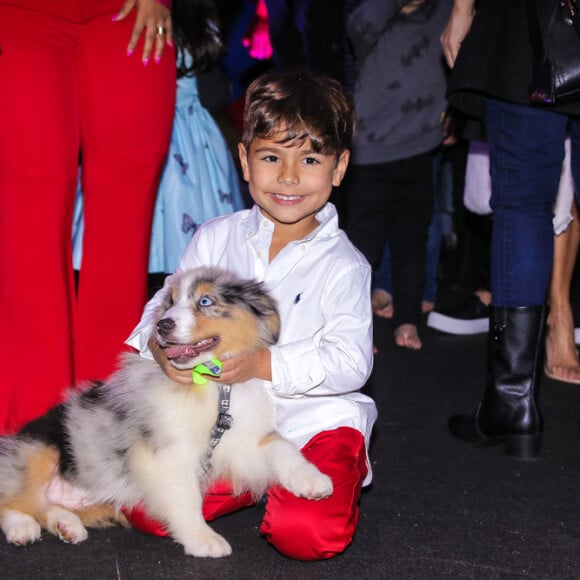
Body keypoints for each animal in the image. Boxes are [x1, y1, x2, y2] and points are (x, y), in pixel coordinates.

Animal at [0, 268, 330, 556]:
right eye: (169, 303)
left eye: (205, 301)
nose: (163, 325)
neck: (209, 388)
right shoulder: (167, 452)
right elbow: (186, 496)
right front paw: (203, 540)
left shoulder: (244, 439)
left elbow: (281, 448)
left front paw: (314, 481)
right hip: (35, 451)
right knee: (10, 499)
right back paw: (22, 528)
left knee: (43, 504)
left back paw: (67, 525)